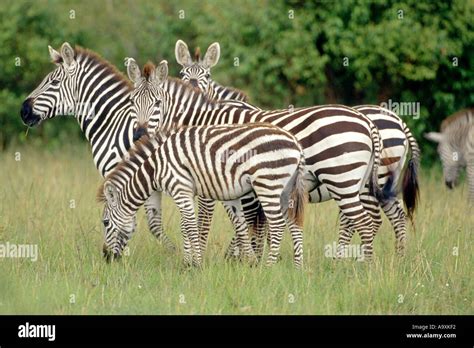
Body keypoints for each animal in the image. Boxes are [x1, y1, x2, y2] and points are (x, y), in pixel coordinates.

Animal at [99, 123, 308, 268]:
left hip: (268, 184)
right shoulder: (193, 192)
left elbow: (191, 227)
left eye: (105, 222)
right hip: (286, 191)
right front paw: (188, 263)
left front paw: (197, 264)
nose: (106, 257)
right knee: (294, 224)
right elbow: (187, 227)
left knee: (277, 225)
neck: (156, 166)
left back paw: (269, 267)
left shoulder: (180, 188)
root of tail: (296, 144)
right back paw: (297, 268)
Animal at [125, 58, 392, 260]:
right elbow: (241, 222)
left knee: (365, 223)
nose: (138, 135)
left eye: (157, 103)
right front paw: (245, 259)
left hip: (342, 179)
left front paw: (202, 259)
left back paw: (361, 269)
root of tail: (365, 121)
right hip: (357, 184)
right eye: (132, 101)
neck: (201, 121)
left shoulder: (207, 177)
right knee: (362, 222)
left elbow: (204, 221)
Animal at [173, 40, 418, 256]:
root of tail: (397, 119)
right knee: (395, 217)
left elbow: (209, 220)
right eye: (183, 74)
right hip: (381, 183)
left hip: (361, 180)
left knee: (368, 220)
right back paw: (398, 259)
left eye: (207, 76)